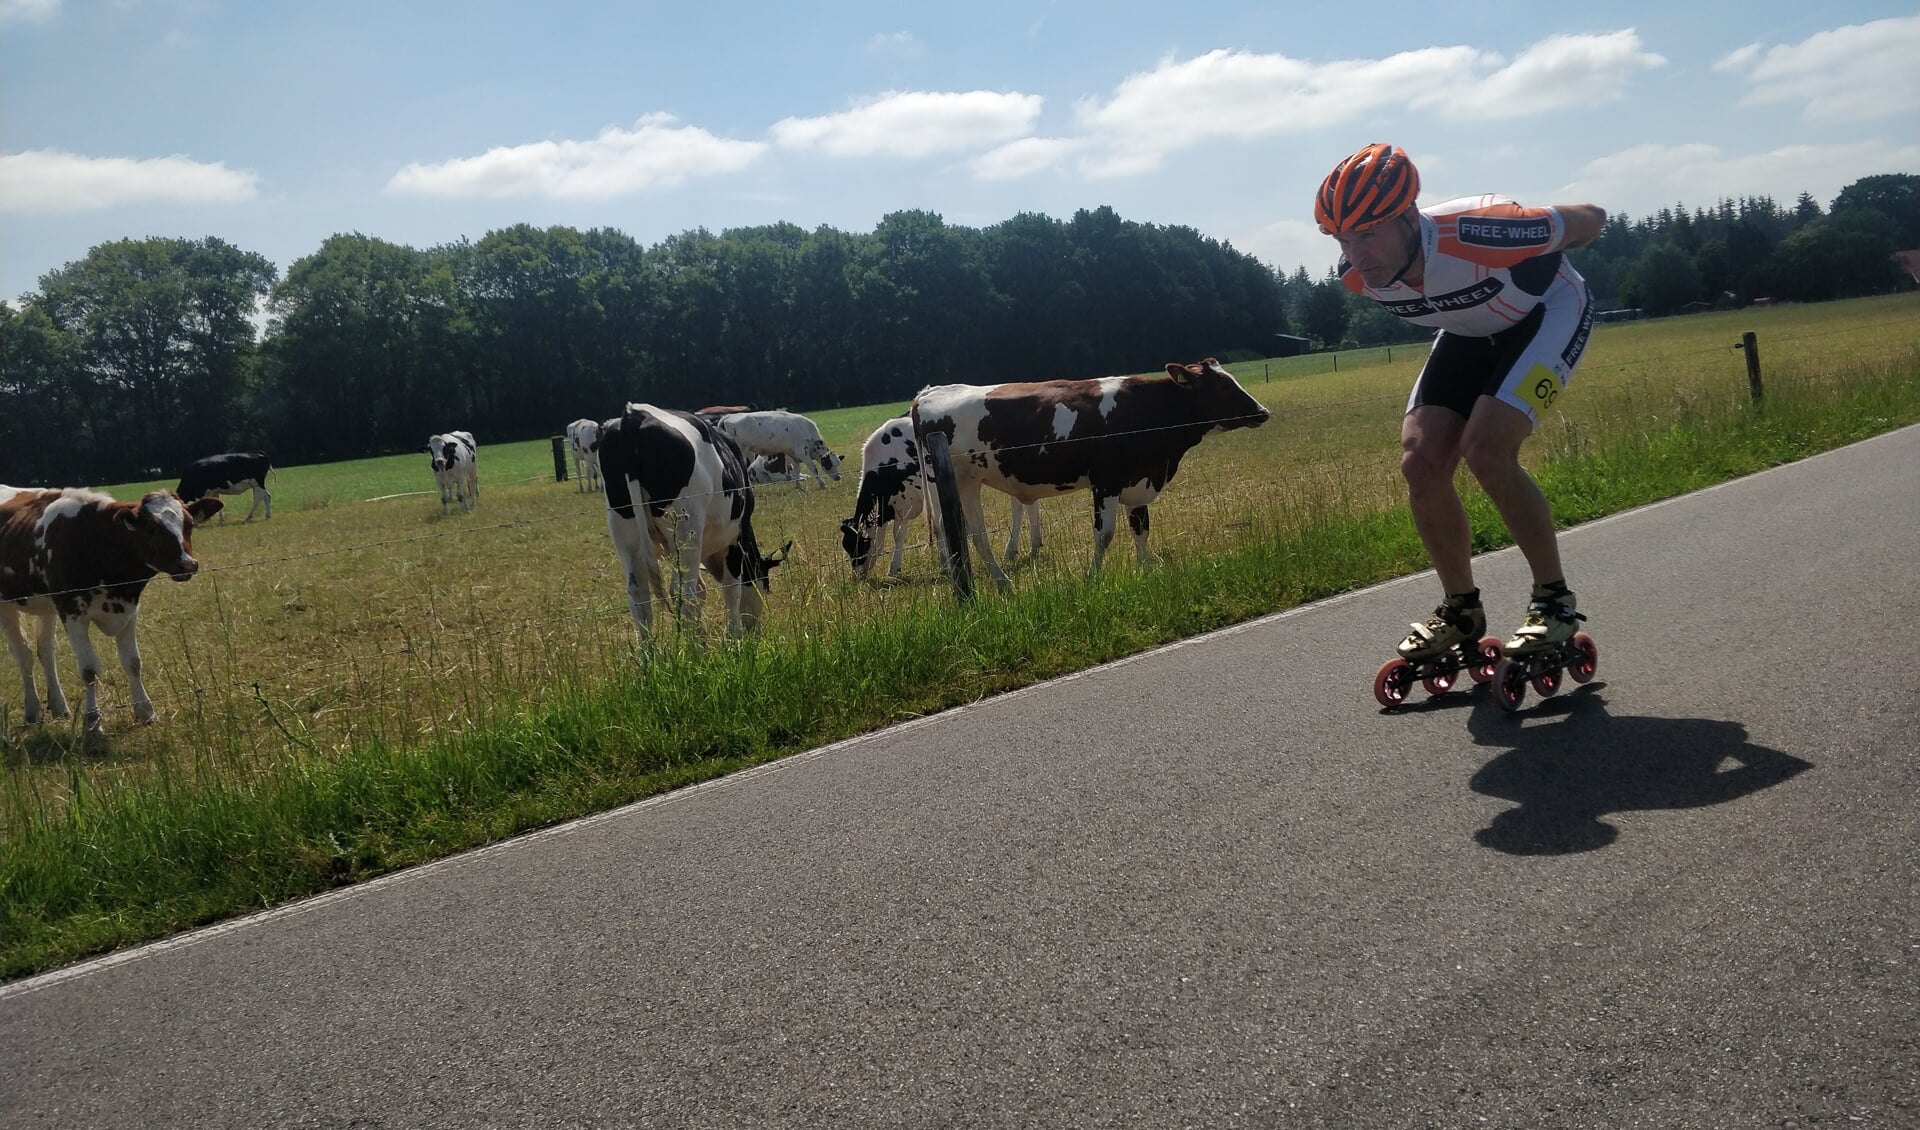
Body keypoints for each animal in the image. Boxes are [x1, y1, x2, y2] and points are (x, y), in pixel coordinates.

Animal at [0, 485, 222, 732]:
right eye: (152, 528)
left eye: (189, 524)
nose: (188, 564)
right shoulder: (72, 613)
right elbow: (89, 670)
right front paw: (92, 721)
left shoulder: (129, 611)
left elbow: (133, 662)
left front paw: (145, 711)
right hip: (6, 606)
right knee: (23, 653)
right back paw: (31, 710)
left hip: (46, 607)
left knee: (45, 650)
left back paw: (58, 705)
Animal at [591, 400, 787, 640]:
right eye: (765, 584)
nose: (756, 633)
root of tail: (634, 415)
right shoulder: (734, 538)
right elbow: (731, 589)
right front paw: (735, 636)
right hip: (687, 528)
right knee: (684, 592)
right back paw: (695, 647)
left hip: (624, 527)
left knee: (639, 595)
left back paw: (651, 650)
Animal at [706, 410, 840, 489]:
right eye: (829, 463)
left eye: (838, 463)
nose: (839, 477)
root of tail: (728, 416)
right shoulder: (803, 452)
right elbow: (814, 469)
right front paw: (822, 484)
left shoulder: (794, 455)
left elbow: (796, 471)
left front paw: (798, 487)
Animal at [833, 414, 1036, 583]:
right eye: (846, 546)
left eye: (859, 545)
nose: (858, 575)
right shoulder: (900, 503)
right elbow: (898, 534)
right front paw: (894, 568)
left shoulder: (931, 484)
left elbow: (940, 526)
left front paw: (946, 565)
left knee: (1019, 507)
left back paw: (1016, 549)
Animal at [906, 358, 1267, 590]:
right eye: (1222, 386)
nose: (1263, 412)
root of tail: (929, 392)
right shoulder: (1106, 481)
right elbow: (1104, 534)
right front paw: (1092, 578)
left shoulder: (1138, 480)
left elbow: (1141, 528)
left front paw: (1147, 571)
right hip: (948, 482)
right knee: (960, 531)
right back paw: (998, 583)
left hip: (968, 483)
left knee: (971, 533)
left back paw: (998, 583)